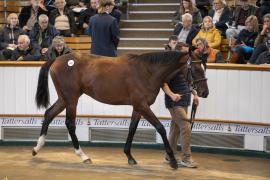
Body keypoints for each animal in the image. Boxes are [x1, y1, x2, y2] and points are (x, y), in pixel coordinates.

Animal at [32, 46, 209, 169]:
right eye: (196, 68)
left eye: (204, 67)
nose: (204, 92)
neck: (147, 71)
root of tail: (57, 60)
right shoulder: (142, 106)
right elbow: (160, 128)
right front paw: (172, 160)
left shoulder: (138, 107)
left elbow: (132, 128)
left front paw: (129, 156)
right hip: (71, 99)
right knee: (69, 123)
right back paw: (83, 156)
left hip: (65, 99)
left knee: (48, 114)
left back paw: (37, 148)